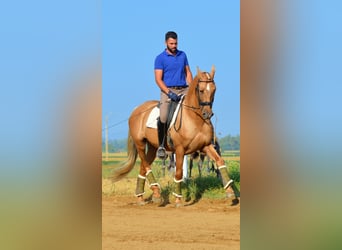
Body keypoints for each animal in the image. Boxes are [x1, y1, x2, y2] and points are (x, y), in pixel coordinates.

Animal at [111, 66, 238, 205]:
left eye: (214, 89)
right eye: (201, 90)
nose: (207, 114)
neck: (194, 118)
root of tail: (136, 110)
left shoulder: (206, 146)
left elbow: (220, 161)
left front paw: (230, 192)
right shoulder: (180, 149)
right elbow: (178, 172)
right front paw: (178, 199)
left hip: (153, 147)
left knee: (143, 168)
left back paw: (142, 197)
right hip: (140, 144)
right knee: (146, 165)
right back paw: (156, 193)